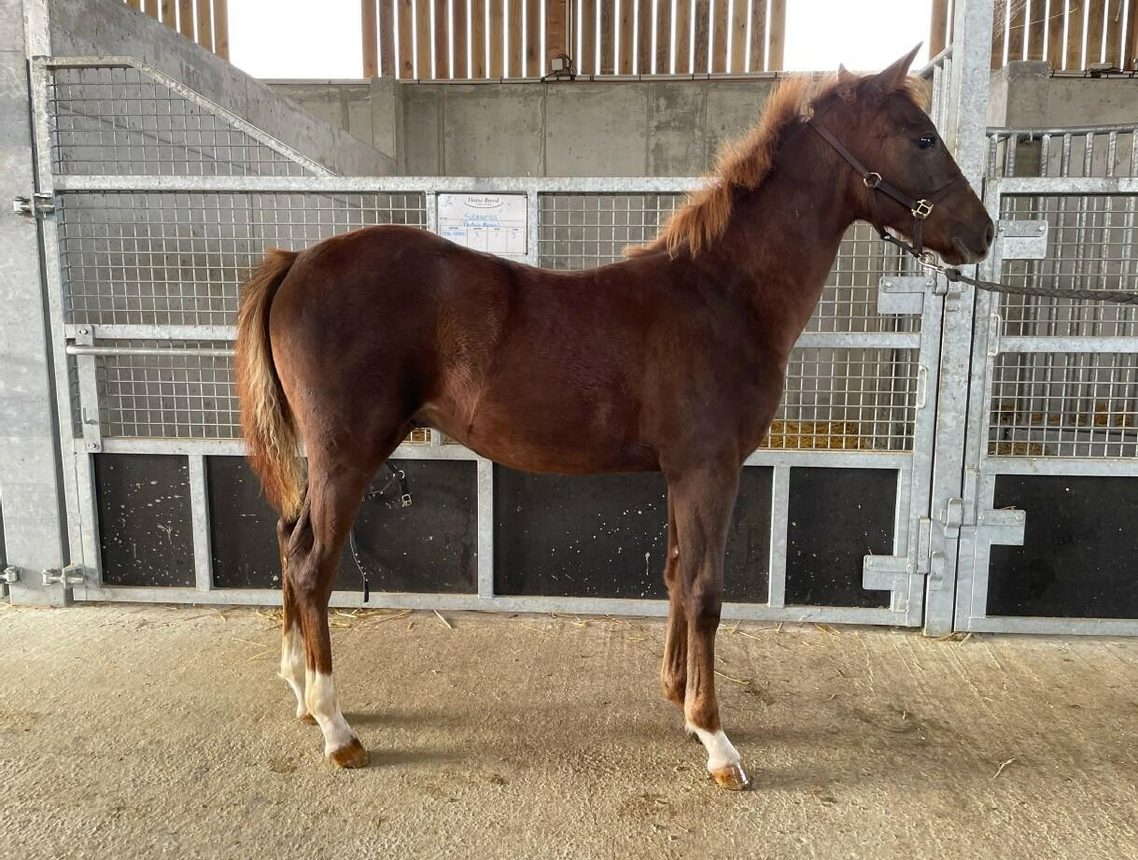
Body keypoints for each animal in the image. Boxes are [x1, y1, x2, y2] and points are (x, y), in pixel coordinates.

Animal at [234, 46, 993, 791]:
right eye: (922, 138)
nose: (982, 233)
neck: (724, 293)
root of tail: (297, 259)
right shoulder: (710, 470)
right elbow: (706, 591)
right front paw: (717, 740)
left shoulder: (682, 474)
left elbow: (678, 576)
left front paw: (682, 703)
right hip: (347, 455)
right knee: (311, 564)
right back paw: (336, 728)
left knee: (287, 541)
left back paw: (300, 693)